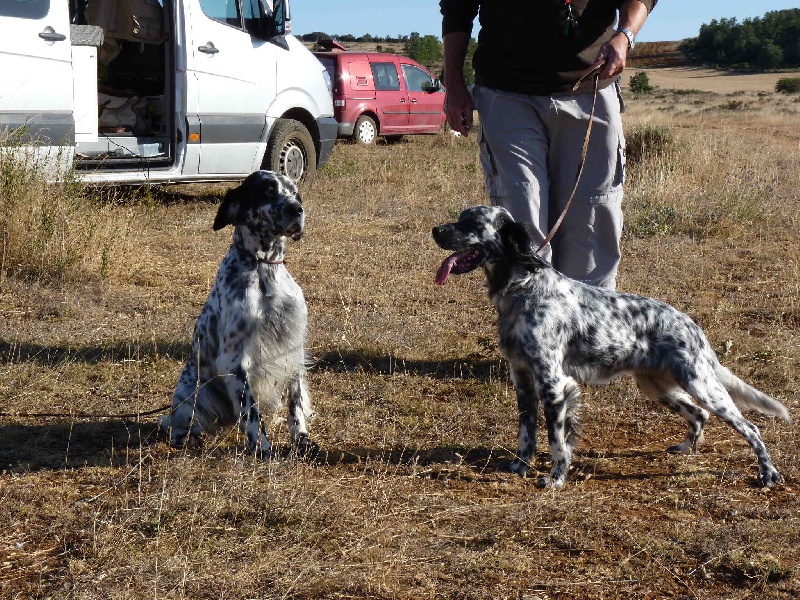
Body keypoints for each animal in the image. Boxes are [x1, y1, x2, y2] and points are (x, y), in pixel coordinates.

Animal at [159, 171, 312, 458]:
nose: (297, 209)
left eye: (294, 192)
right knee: (177, 423)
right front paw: (262, 448)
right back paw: (186, 438)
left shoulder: (293, 343)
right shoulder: (234, 360)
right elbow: (250, 412)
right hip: (192, 395)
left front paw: (303, 440)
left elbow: (295, 400)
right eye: (267, 190)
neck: (264, 268)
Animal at [434, 205, 792, 488]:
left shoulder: (554, 383)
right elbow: (527, 434)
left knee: (750, 427)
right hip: (656, 386)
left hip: (702, 385)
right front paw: (520, 466)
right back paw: (687, 449)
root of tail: (693, 327)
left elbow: (557, 441)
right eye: (460, 218)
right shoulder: (522, 379)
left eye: (472, 223)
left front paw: (555, 479)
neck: (525, 287)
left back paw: (768, 474)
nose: (436, 230)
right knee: (698, 414)